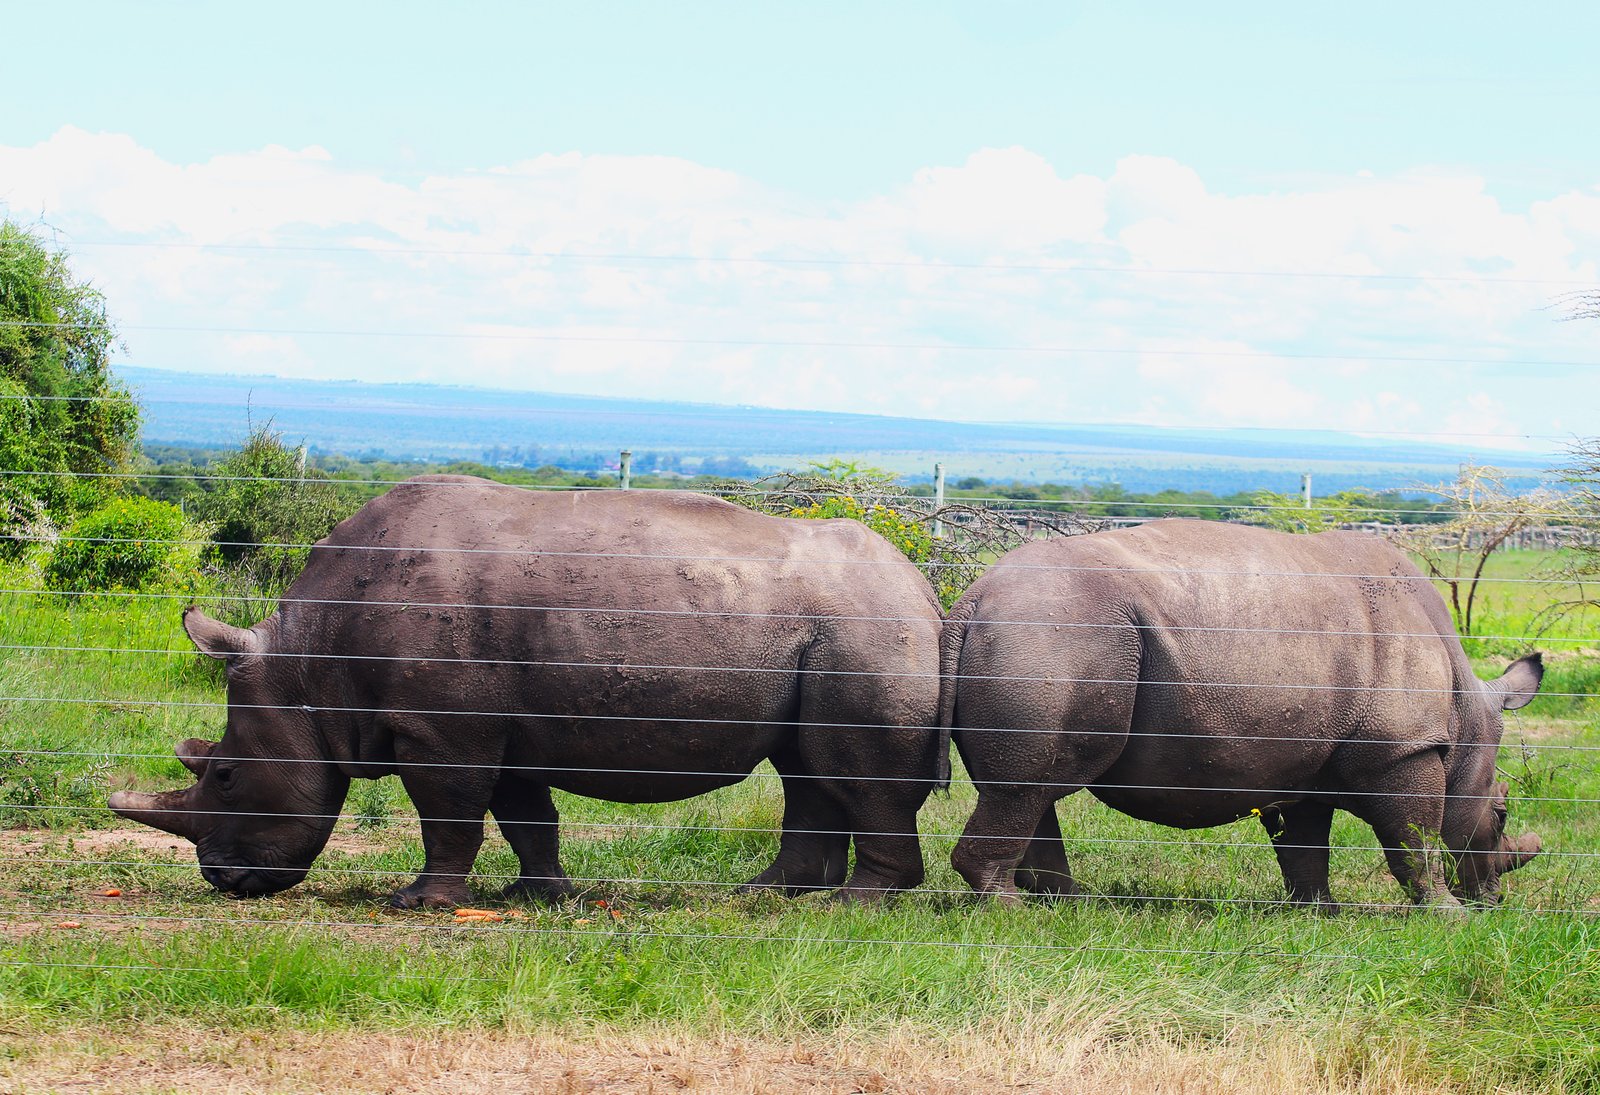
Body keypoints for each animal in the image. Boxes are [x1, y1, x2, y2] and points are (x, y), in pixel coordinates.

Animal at [110, 476, 943, 907]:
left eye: (224, 773)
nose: (222, 879)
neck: (306, 668)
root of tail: (924, 590)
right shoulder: (496, 725)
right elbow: (524, 815)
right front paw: (541, 895)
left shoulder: (440, 727)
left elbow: (447, 813)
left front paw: (419, 902)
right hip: (838, 626)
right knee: (806, 767)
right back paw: (764, 896)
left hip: (866, 628)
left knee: (848, 767)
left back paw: (856, 903)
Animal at [939, 519, 1542, 910]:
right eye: (1502, 814)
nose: (1494, 902)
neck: (1465, 713)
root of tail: (972, 600)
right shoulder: (1402, 749)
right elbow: (1415, 836)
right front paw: (1447, 915)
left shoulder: (1311, 761)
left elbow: (1305, 844)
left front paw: (1320, 913)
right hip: (1056, 634)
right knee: (1029, 785)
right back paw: (1012, 911)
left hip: (1044, 632)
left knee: (1034, 786)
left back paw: (1072, 904)